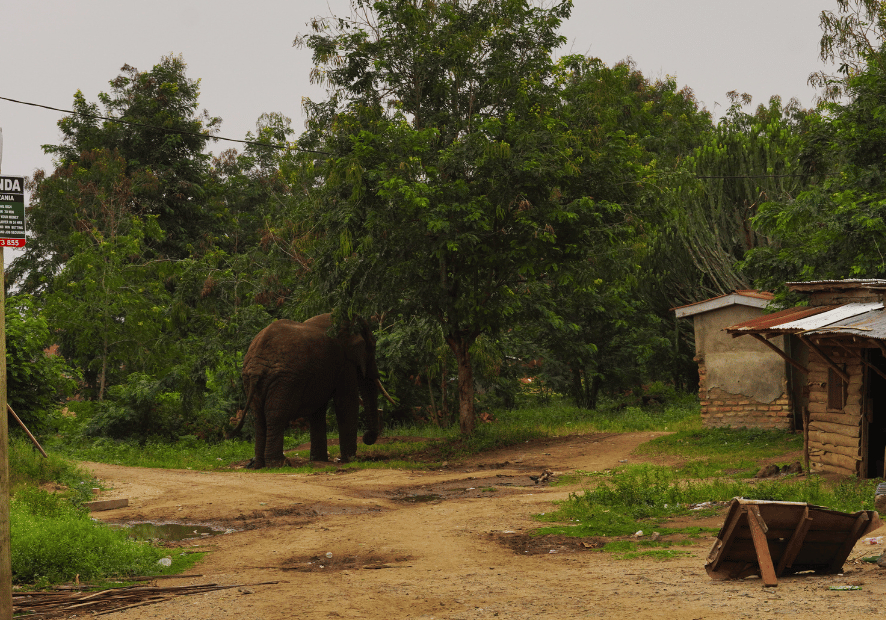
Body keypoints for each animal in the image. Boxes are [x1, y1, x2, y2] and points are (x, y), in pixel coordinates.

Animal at [238, 312, 384, 468]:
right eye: (372, 346)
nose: (366, 438)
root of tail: (256, 367)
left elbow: (317, 410)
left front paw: (319, 460)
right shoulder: (344, 362)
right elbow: (346, 402)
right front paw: (350, 460)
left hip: (252, 379)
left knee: (259, 417)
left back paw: (258, 464)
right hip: (283, 380)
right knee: (276, 416)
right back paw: (280, 464)